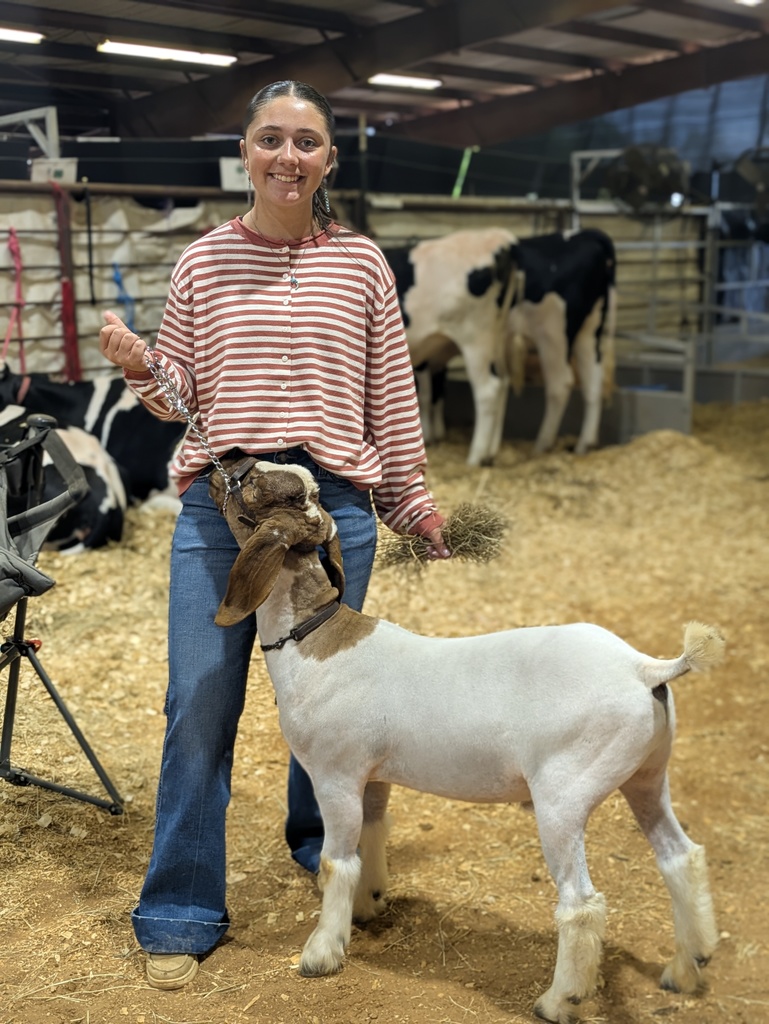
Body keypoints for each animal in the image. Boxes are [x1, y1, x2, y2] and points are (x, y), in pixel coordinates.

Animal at [210, 457, 723, 1024]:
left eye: (251, 484)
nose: (222, 464)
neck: (315, 639)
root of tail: (644, 667)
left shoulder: (335, 774)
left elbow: (336, 861)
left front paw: (322, 952)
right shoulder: (374, 775)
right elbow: (372, 834)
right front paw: (369, 906)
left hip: (565, 793)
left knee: (582, 904)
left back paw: (559, 999)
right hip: (647, 773)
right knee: (680, 856)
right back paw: (687, 966)